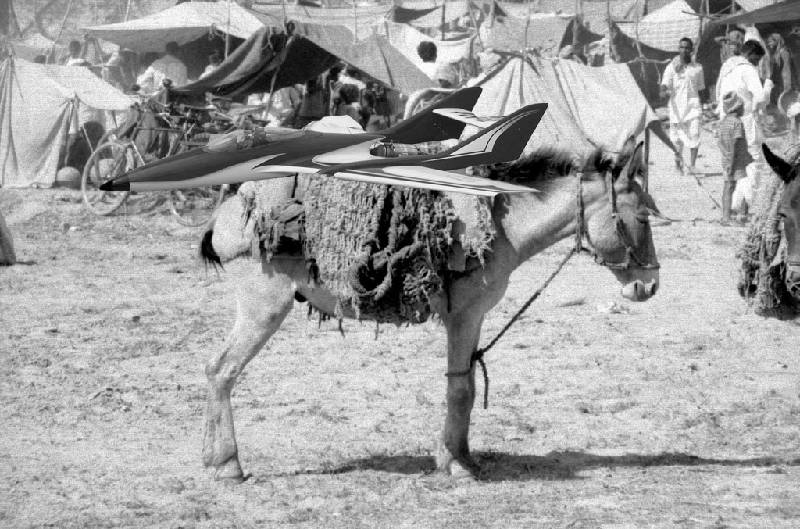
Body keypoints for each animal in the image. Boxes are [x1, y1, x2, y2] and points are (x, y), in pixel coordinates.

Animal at [199, 141, 661, 481]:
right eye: (642, 217)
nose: (650, 286)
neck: (499, 224)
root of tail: (231, 204)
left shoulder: (473, 319)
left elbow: (467, 383)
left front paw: (461, 455)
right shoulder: (464, 317)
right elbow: (460, 389)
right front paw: (455, 464)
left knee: (216, 371)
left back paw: (211, 457)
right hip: (263, 307)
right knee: (222, 370)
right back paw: (228, 465)